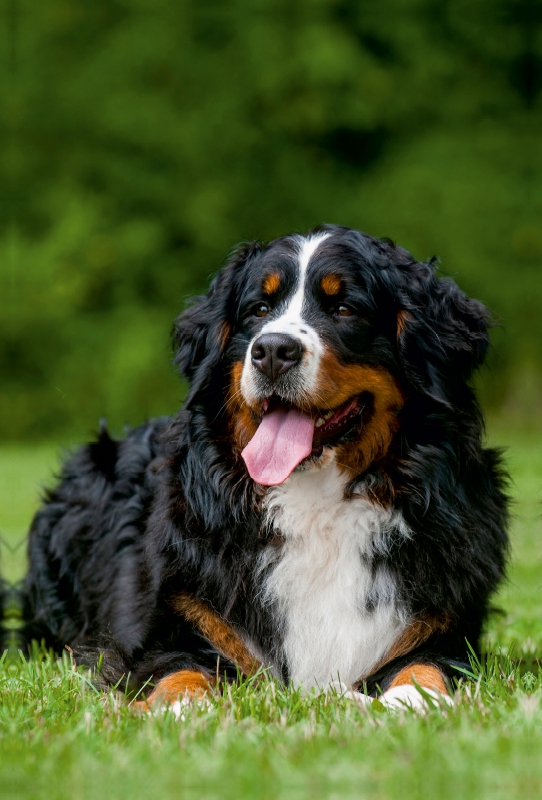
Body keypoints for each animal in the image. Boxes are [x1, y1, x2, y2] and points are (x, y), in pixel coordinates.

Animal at [21, 227, 512, 712]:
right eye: (258, 310)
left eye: (345, 308)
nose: (273, 349)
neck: (316, 506)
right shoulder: (171, 627)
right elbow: (179, 671)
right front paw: (181, 709)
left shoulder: (443, 631)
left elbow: (424, 668)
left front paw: (409, 702)